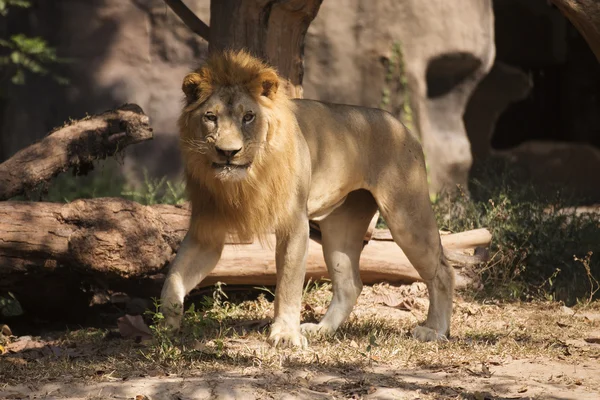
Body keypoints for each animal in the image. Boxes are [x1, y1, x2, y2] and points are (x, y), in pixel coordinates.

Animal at [161, 50, 454, 346]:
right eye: (210, 116)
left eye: (249, 117)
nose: (228, 153)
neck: (246, 180)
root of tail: (400, 125)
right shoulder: (206, 231)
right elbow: (173, 278)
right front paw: (166, 327)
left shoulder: (294, 223)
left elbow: (288, 285)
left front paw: (285, 334)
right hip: (340, 228)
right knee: (350, 285)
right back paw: (322, 329)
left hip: (406, 216)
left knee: (442, 270)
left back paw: (434, 330)